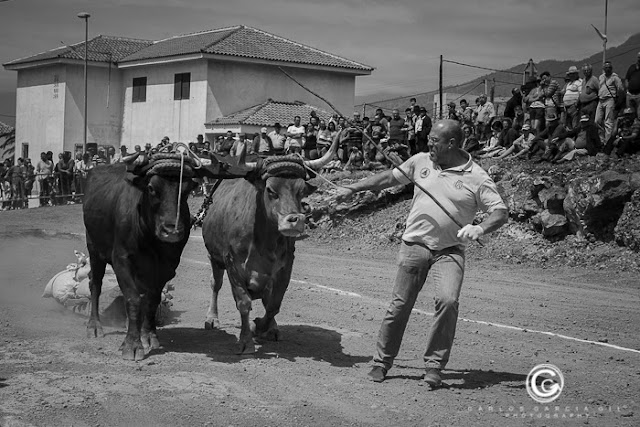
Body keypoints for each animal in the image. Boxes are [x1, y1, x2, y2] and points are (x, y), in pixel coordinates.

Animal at [83, 145, 244, 360]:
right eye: (152, 188)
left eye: (187, 190)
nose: (172, 231)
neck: (148, 235)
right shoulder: (121, 260)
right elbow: (133, 299)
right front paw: (132, 344)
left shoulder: (166, 267)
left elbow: (152, 300)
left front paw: (148, 336)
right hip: (94, 249)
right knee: (95, 284)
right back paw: (94, 326)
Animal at [202, 131, 345, 354]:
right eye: (270, 190)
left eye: (301, 190)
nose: (296, 220)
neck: (262, 239)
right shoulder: (231, 262)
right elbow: (243, 302)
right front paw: (246, 340)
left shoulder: (285, 266)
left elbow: (273, 304)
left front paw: (261, 327)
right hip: (214, 257)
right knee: (215, 284)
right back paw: (212, 318)